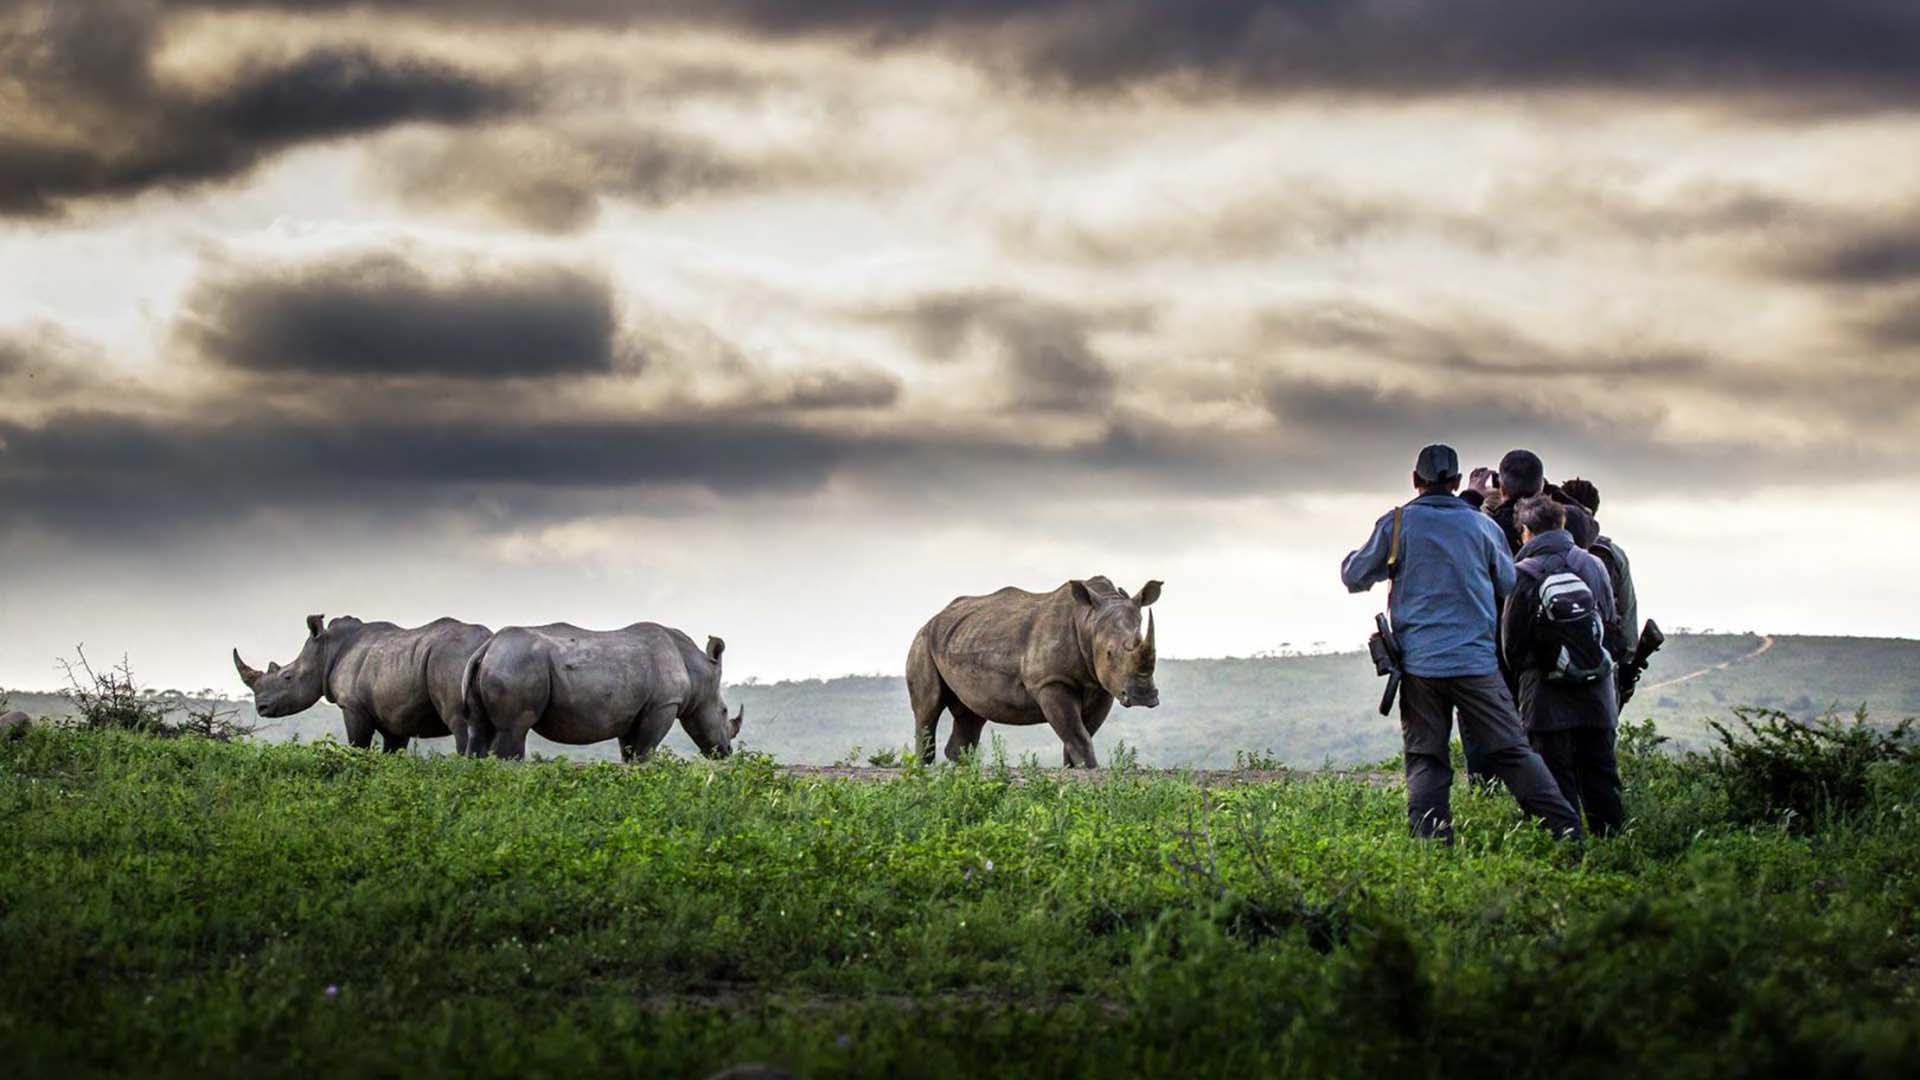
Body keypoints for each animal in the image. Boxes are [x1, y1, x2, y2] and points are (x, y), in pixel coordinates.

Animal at [232, 614, 492, 753]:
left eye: (287, 677)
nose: (261, 707)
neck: (326, 650)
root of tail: (487, 643)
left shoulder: (353, 706)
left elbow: (358, 746)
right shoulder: (396, 715)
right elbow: (392, 753)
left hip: (451, 658)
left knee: (463, 725)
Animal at [461, 622, 743, 761]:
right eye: (724, 710)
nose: (726, 752)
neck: (697, 672)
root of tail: (487, 648)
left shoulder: (632, 711)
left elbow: (630, 753)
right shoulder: (663, 705)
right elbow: (645, 752)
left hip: (494, 665)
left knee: (478, 731)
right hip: (517, 664)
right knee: (514, 730)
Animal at [908, 576, 1162, 768]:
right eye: (1109, 653)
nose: (1143, 697)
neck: (1088, 622)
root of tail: (935, 617)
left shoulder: (1102, 687)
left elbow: (1082, 734)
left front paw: (1074, 769)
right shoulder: (1050, 682)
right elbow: (1078, 735)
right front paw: (1090, 769)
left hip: (965, 637)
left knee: (971, 714)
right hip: (923, 640)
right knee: (928, 708)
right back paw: (922, 769)